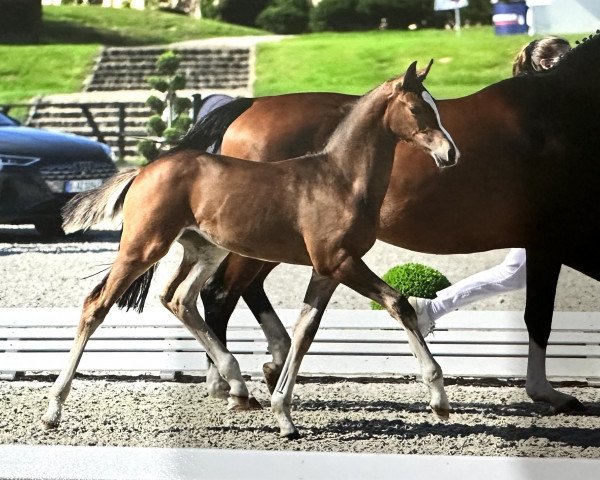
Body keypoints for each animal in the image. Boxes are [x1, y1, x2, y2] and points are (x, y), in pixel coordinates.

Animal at [42, 62, 458, 438]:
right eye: (417, 109)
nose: (451, 154)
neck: (340, 179)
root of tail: (143, 170)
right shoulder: (340, 262)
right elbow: (399, 304)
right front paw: (438, 399)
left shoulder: (325, 270)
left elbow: (303, 333)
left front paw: (284, 416)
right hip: (143, 246)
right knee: (97, 305)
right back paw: (53, 410)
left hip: (205, 250)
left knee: (179, 298)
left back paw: (238, 387)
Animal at [190, 31, 600, 412]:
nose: (450, 154)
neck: (559, 112)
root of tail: (247, 106)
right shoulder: (553, 241)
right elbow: (539, 316)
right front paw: (547, 393)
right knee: (220, 293)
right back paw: (230, 384)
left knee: (241, 290)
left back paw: (265, 367)